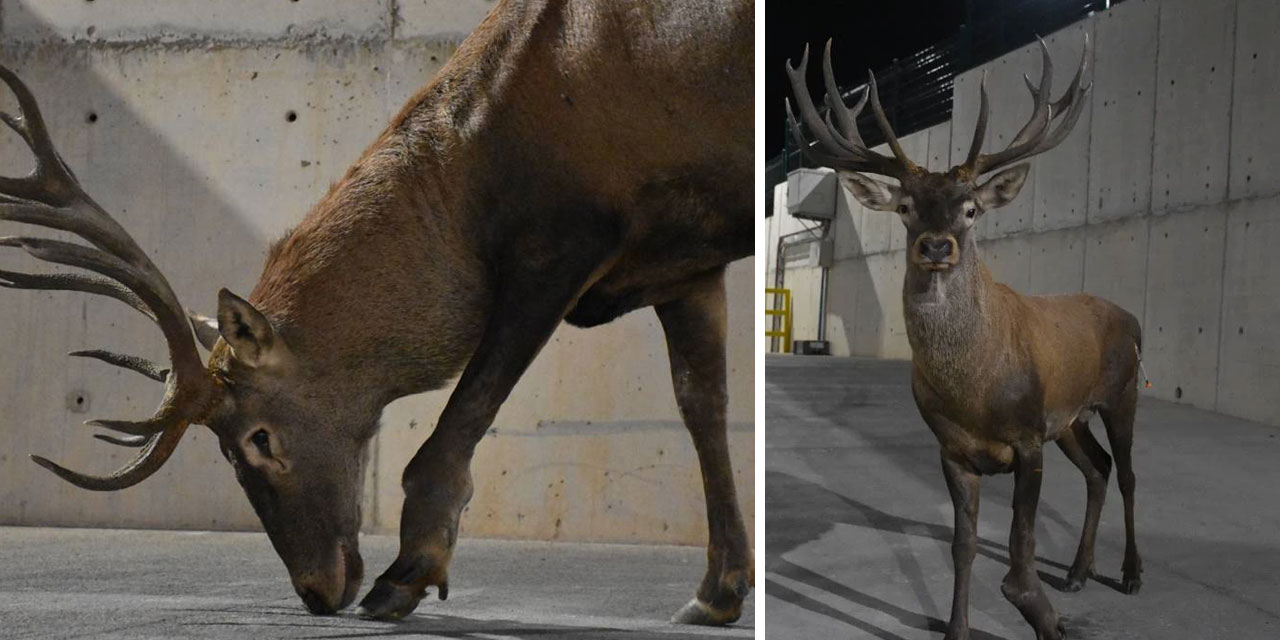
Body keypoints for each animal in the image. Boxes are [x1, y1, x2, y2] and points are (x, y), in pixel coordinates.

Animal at [0, 0, 752, 622]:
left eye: (258, 438)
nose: (316, 590)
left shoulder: (561, 241)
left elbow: (459, 419)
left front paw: (404, 577)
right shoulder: (684, 261)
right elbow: (701, 405)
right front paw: (716, 592)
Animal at [783, 38, 1146, 640]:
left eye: (971, 209)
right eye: (905, 207)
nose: (936, 246)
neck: (976, 391)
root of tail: (1133, 317)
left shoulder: (1028, 435)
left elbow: (1021, 547)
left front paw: (1043, 616)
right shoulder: (952, 449)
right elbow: (963, 545)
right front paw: (957, 627)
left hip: (1123, 395)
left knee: (1129, 474)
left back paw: (1131, 574)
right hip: (1071, 418)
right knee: (1098, 469)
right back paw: (1077, 572)